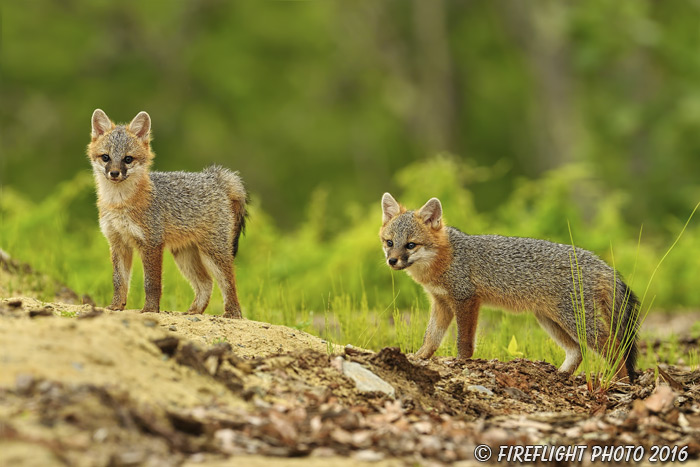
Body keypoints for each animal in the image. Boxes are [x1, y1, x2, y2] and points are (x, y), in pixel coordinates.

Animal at [87, 109, 247, 318]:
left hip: (213, 253)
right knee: (206, 283)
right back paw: (193, 311)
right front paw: (115, 306)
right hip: (184, 256)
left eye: (127, 159)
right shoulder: (118, 243)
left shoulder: (152, 243)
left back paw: (232, 314)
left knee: (228, 282)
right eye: (105, 157)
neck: (119, 203)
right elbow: (118, 281)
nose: (114, 173)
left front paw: (150, 309)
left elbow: (151, 283)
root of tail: (213, 176)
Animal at [380, 193, 636, 380]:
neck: (446, 257)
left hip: (576, 320)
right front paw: (419, 357)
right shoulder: (441, 302)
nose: (392, 261)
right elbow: (431, 337)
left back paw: (619, 381)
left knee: (614, 347)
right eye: (390, 242)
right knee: (577, 351)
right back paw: (559, 375)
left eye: (411, 245)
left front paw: (461, 362)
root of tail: (601, 264)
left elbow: (463, 341)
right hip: (549, 320)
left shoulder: (466, 299)